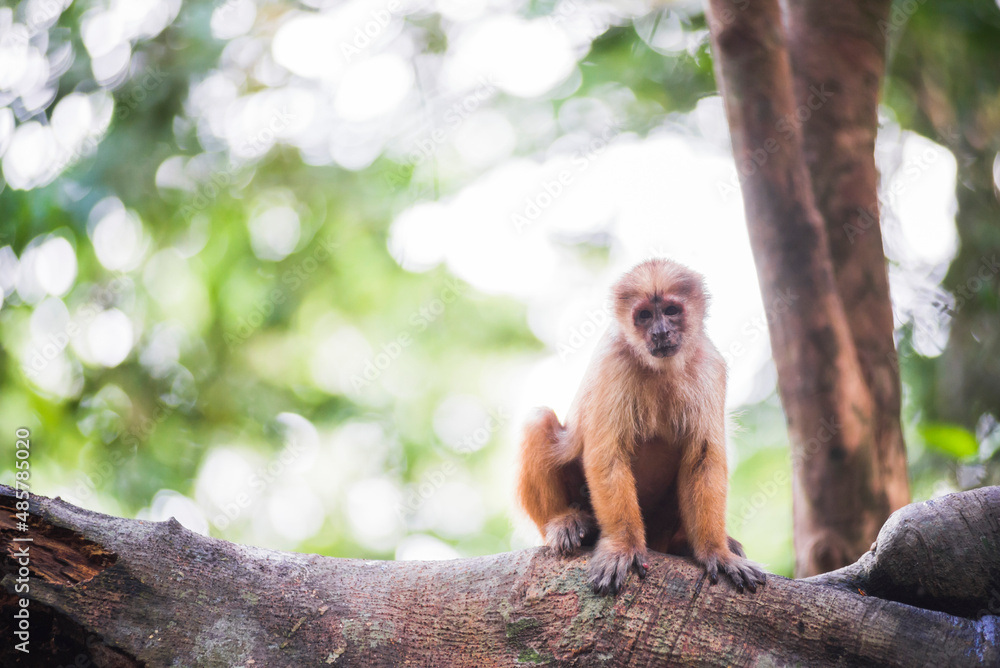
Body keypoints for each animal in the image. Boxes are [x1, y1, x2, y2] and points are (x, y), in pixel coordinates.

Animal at [517, 258, 766, 595]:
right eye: (645, 316)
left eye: (671, 311)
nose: (660, 332)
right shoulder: (613, 359)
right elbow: (607, 455)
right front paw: (623, 546)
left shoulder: (709, 365)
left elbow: (703, 459)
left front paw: (716, 552)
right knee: (539, 420)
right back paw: (566, 523)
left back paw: (684, 543)